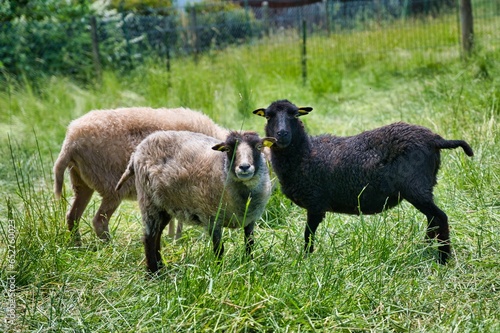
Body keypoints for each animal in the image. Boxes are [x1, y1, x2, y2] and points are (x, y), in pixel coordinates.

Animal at [115, 130, 276, 272]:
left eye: (259, 147)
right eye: (228, 149)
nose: (244, 167)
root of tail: (137, 151)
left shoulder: (250, 220)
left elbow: (249, 244)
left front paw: (249, 265)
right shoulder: (212, 218)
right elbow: (219, 248)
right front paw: (219, 271)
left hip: (164, 206)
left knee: (157, 235)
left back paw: (161, 267)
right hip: (148, 200)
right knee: (149, 237)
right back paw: (153, 273)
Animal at [254, 98, 472, 262]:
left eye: (295, 115)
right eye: (269, 116)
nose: (282, 134)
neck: (305, 153)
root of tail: (435, 139)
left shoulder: (315, 203)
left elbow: (308, 234)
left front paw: (305, 259)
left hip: (416, 186)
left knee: (440, 217)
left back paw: (443, 259)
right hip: (424, 186)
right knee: (432, 218)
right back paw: (425, 249)